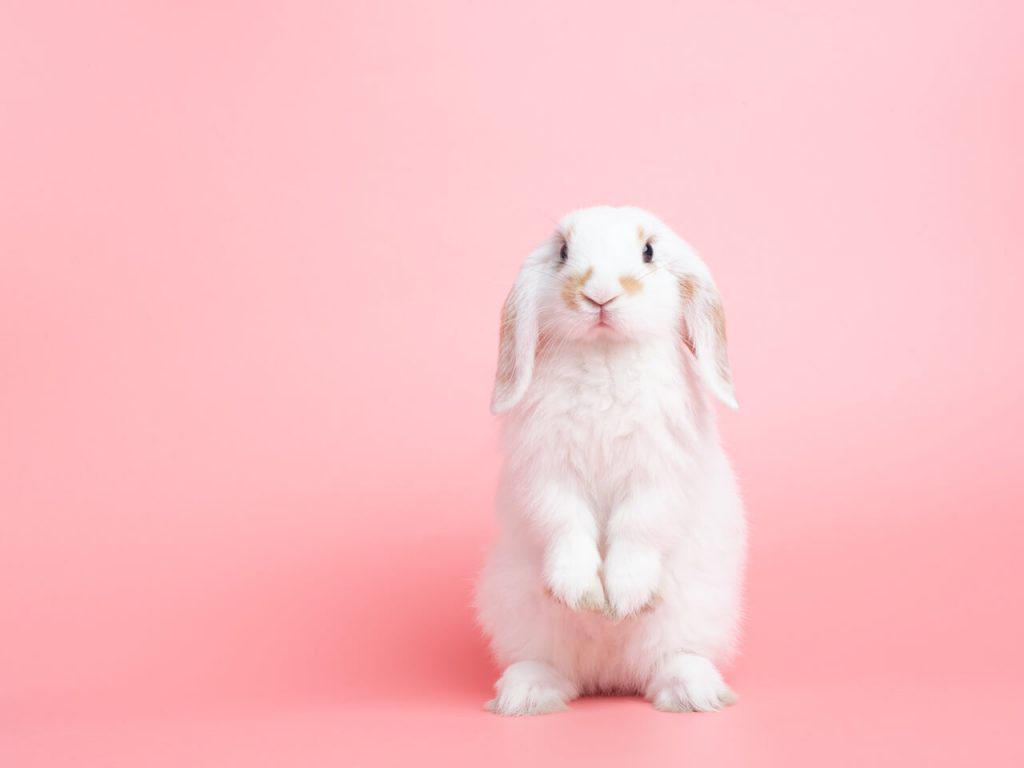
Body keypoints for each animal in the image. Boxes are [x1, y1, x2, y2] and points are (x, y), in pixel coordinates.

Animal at [475, 205, 746, 715]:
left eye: (648, 251)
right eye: (563, 252)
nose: (599, 294)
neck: (605, 353)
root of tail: (609, 675)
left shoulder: (657, 476)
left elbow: (637, 527)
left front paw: (622, 599)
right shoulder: (547, 475)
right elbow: (565, 524)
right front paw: (583, 594)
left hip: (697, 606)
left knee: (669, 658)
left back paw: (693, 692)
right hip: (515, 605)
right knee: (553, 665)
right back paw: (527, 694)